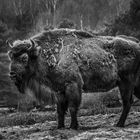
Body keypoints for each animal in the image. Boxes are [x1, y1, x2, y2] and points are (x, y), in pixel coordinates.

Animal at [7, 28, 140, 129]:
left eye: (24, 58)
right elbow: (60, 110)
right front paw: (60, 127)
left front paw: (73, 126)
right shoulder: (59, 90)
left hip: (126, 83)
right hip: (134, 85)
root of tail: (137, 45)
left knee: (127, 103)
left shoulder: (73, 85)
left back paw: (118, 124)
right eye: (11, 57)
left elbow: (72, 107)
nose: (12, 74)